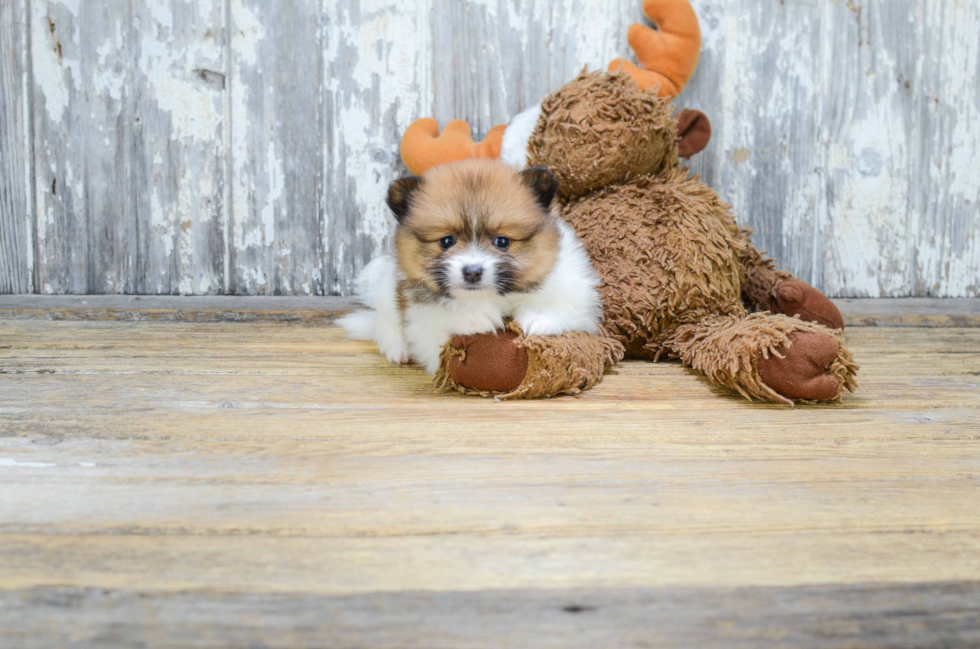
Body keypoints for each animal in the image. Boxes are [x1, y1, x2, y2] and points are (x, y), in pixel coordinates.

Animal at [338, 158, 604, 374]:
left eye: (502, 241)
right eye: (447, 241)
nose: (473, 272)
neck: (496, 297)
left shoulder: (577, 295)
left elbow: (561, 307)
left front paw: (538, 318)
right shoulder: (421, 319)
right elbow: (444, 320)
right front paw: (476, 318)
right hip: (386, 290)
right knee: (386, 325)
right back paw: (398, 350)